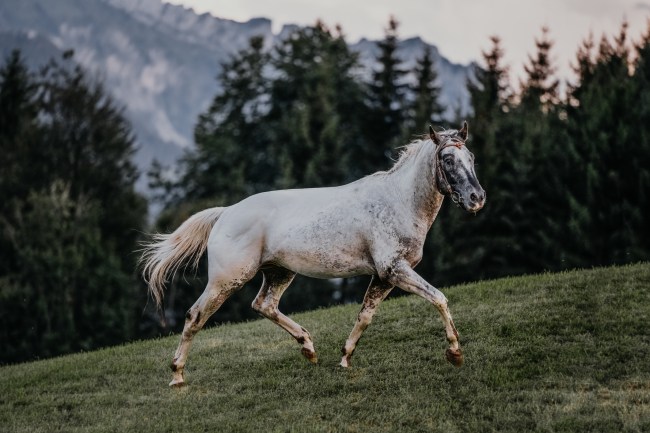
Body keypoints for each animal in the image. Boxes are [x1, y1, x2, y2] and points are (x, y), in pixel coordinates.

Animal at [141, 122, 485, 387]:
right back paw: (177, 376)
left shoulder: (384, 276)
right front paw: (455, 353)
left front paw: (345, 358)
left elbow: (365, 315)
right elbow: (439, 298)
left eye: (470, 156)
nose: (477, 198)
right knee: (195, 316)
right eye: (447, 158)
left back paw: (308, 348)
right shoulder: (394, 270)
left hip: (279, 272)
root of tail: (226, 212)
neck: (398, 202)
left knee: (263, 305)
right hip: (226, 281)